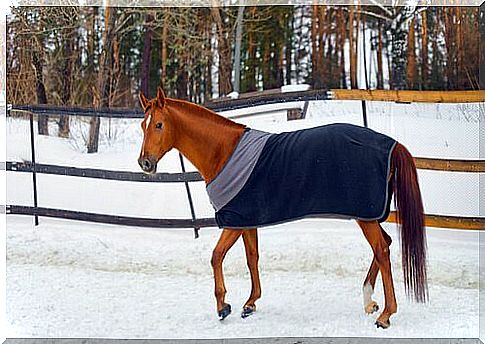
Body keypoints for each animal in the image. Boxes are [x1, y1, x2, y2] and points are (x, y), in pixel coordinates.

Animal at [137, 87, 428, 330]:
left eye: (159, 125)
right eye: (143, 125)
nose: (145, 163)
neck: (223, 152)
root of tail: (390, 143)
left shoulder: (232, 221)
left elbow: (216, 256)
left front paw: (223, 307)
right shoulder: (246, 220)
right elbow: (252, 258)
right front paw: (250, 303)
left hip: (365, 214)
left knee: (381, 250)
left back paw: (386, 315)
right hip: (367, 214)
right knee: (385, 244)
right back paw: (369, 301)